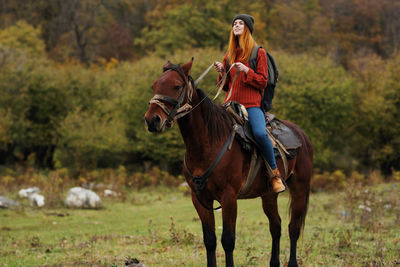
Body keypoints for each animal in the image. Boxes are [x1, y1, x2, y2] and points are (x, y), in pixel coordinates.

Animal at [145, 60, 314, 267]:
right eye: (154, 85)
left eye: (176, 86)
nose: (152, 120)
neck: (207, 144)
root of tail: (302, 135)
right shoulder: (199, 198)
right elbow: (209, 240)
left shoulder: (229, 198)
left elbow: (228, 240)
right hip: (268, 195)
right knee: (276, 226)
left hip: (299, 188)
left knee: (293, 228)